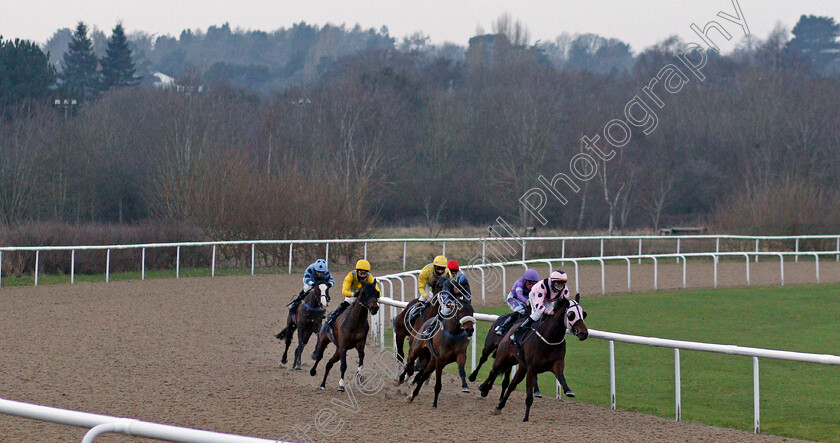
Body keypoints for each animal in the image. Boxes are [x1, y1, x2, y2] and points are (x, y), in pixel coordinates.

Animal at [480, 294, 592, 424]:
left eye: (583, 314)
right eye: (571, 314)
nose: (584, 333)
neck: (550, 338)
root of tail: (511, 331)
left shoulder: (557, 363)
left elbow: (561, 377)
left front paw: (568, 391)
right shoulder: (531, 369)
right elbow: (529, 396)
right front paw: (526, 417)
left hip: (521, 367)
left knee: (512, 384)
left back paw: (499, 406)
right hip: (502, 356)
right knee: (493, 370)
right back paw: (482, 387)